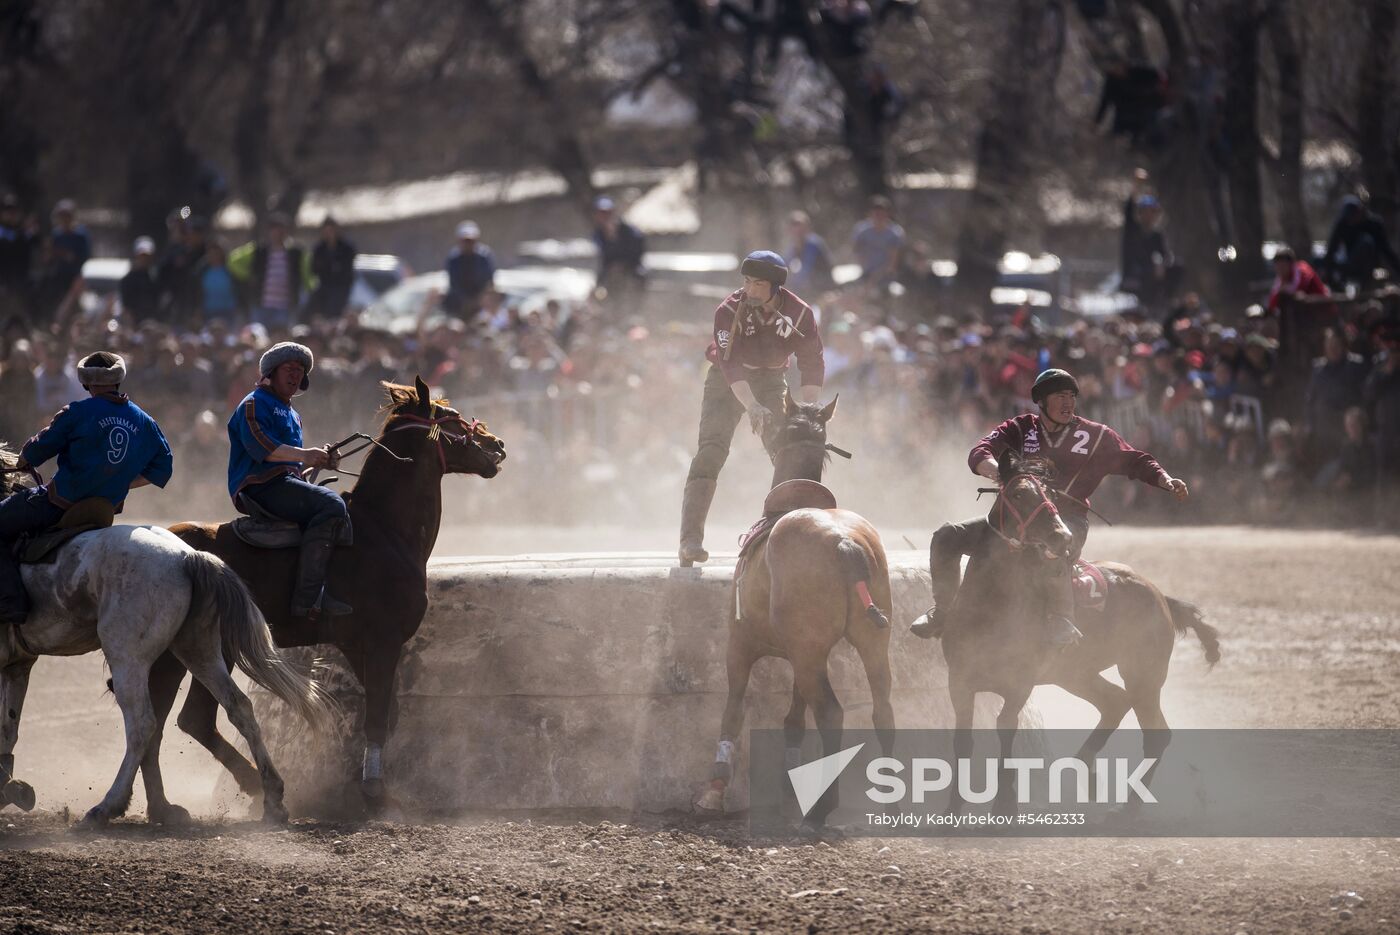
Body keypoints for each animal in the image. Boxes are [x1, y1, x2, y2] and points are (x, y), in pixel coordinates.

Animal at [144, 375, 506, 811]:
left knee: (180, 718)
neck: (383, 528)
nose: (497, 445)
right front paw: (373, 789)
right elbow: (378, 714)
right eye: (451, 417)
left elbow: (386, 712)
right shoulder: (383, 641)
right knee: (169, 718)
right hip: (189, 652)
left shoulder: (354, 643)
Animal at [940, 453, 1226, 811]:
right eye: (1018, 494)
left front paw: (1005, 805)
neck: (991, 605)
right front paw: (953, 807)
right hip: (1076, 673)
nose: (1061, 535)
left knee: (1156, 732)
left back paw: (1128, 807)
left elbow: (1006, 730)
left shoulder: (1019, 685)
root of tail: (1159, 595)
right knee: (1115, 702)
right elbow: (963, 741)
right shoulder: (960, 682)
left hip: (1144, 675)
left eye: (1049, 492)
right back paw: (1085, 774)